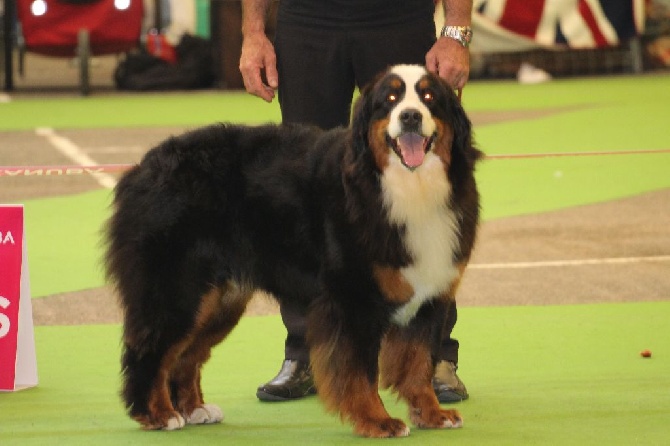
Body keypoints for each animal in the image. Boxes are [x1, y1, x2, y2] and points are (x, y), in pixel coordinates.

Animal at [106, 64, 484, 438]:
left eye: (429, 97)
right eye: (389, 100)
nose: (409, 116)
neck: (404, 188)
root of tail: (143, 167)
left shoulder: (429, 294)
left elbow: (419, 364)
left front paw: (432, 414)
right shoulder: (354, 300)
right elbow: (360, 372)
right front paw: (377, 421)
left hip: (217, 300)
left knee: (186, 355)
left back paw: (194, 409)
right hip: (177, 289)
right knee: (150, 350)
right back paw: (157, 413)